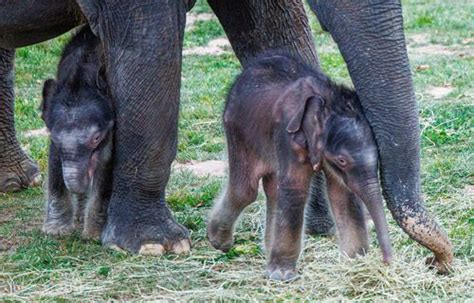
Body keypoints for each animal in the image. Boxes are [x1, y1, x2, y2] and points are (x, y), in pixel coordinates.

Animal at [39, 26, 112, 240]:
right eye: (54, 137)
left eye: (96, 138)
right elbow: (55, 162)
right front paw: (56, 231)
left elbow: (106, 167)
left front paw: (94, 235)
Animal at [207, 53, 392, 282]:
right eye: (342, 160)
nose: (387, 262)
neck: (326, 101)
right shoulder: (289, 136)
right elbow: (295, 188)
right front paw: (282, 275)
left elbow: (342, 193)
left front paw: (355, 260)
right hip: (237, 130)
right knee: (245, 189)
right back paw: (219, 242)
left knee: (273, 190)